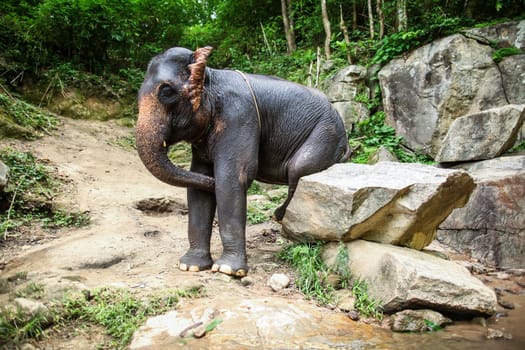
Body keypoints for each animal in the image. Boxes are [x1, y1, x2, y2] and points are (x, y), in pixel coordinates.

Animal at [136, 45, 348, 276]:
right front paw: (191, 266)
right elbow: (199, 183)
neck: (212, 76)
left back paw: (279, 217)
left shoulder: (239, 115)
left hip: (326, 135)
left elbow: (231, 178)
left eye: (167, 92)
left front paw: (227, 270)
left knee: (298, 170)